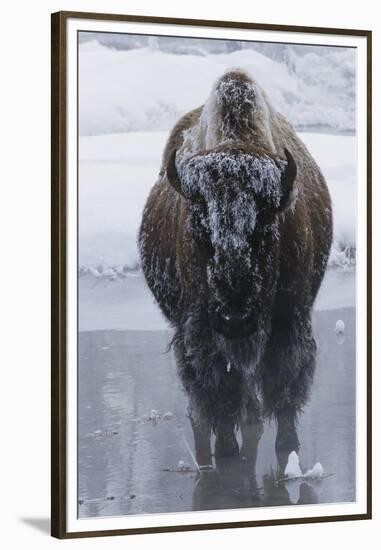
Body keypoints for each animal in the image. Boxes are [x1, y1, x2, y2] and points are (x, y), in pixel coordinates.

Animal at [138, 70, 332, 470]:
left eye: (266, 228)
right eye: (199, 228)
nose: (235, 318)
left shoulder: (289, 320)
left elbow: (284, 383)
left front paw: (288, 447)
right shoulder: (200, 330)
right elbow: (219, 390)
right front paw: (226, 450)